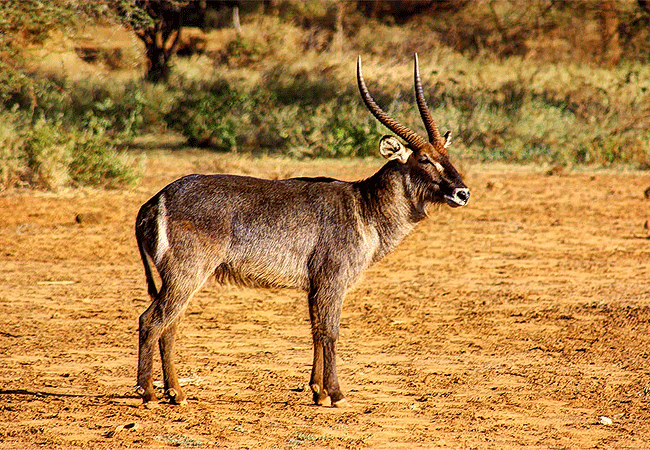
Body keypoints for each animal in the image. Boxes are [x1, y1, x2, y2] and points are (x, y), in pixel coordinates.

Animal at [135, 53, 470, 408]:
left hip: (179, 279)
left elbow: (315, 332)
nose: (463, 193)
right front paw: (336, 394)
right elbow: (330, 332)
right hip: (186, 273)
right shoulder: (332, 281)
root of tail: (154, 201)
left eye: (447, 155)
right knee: (151, 320)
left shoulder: (314, 287)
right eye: (424, 159)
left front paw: (317, 391)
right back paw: (149, 392)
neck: (364, 206)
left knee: (169, 326)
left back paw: (176, 392)